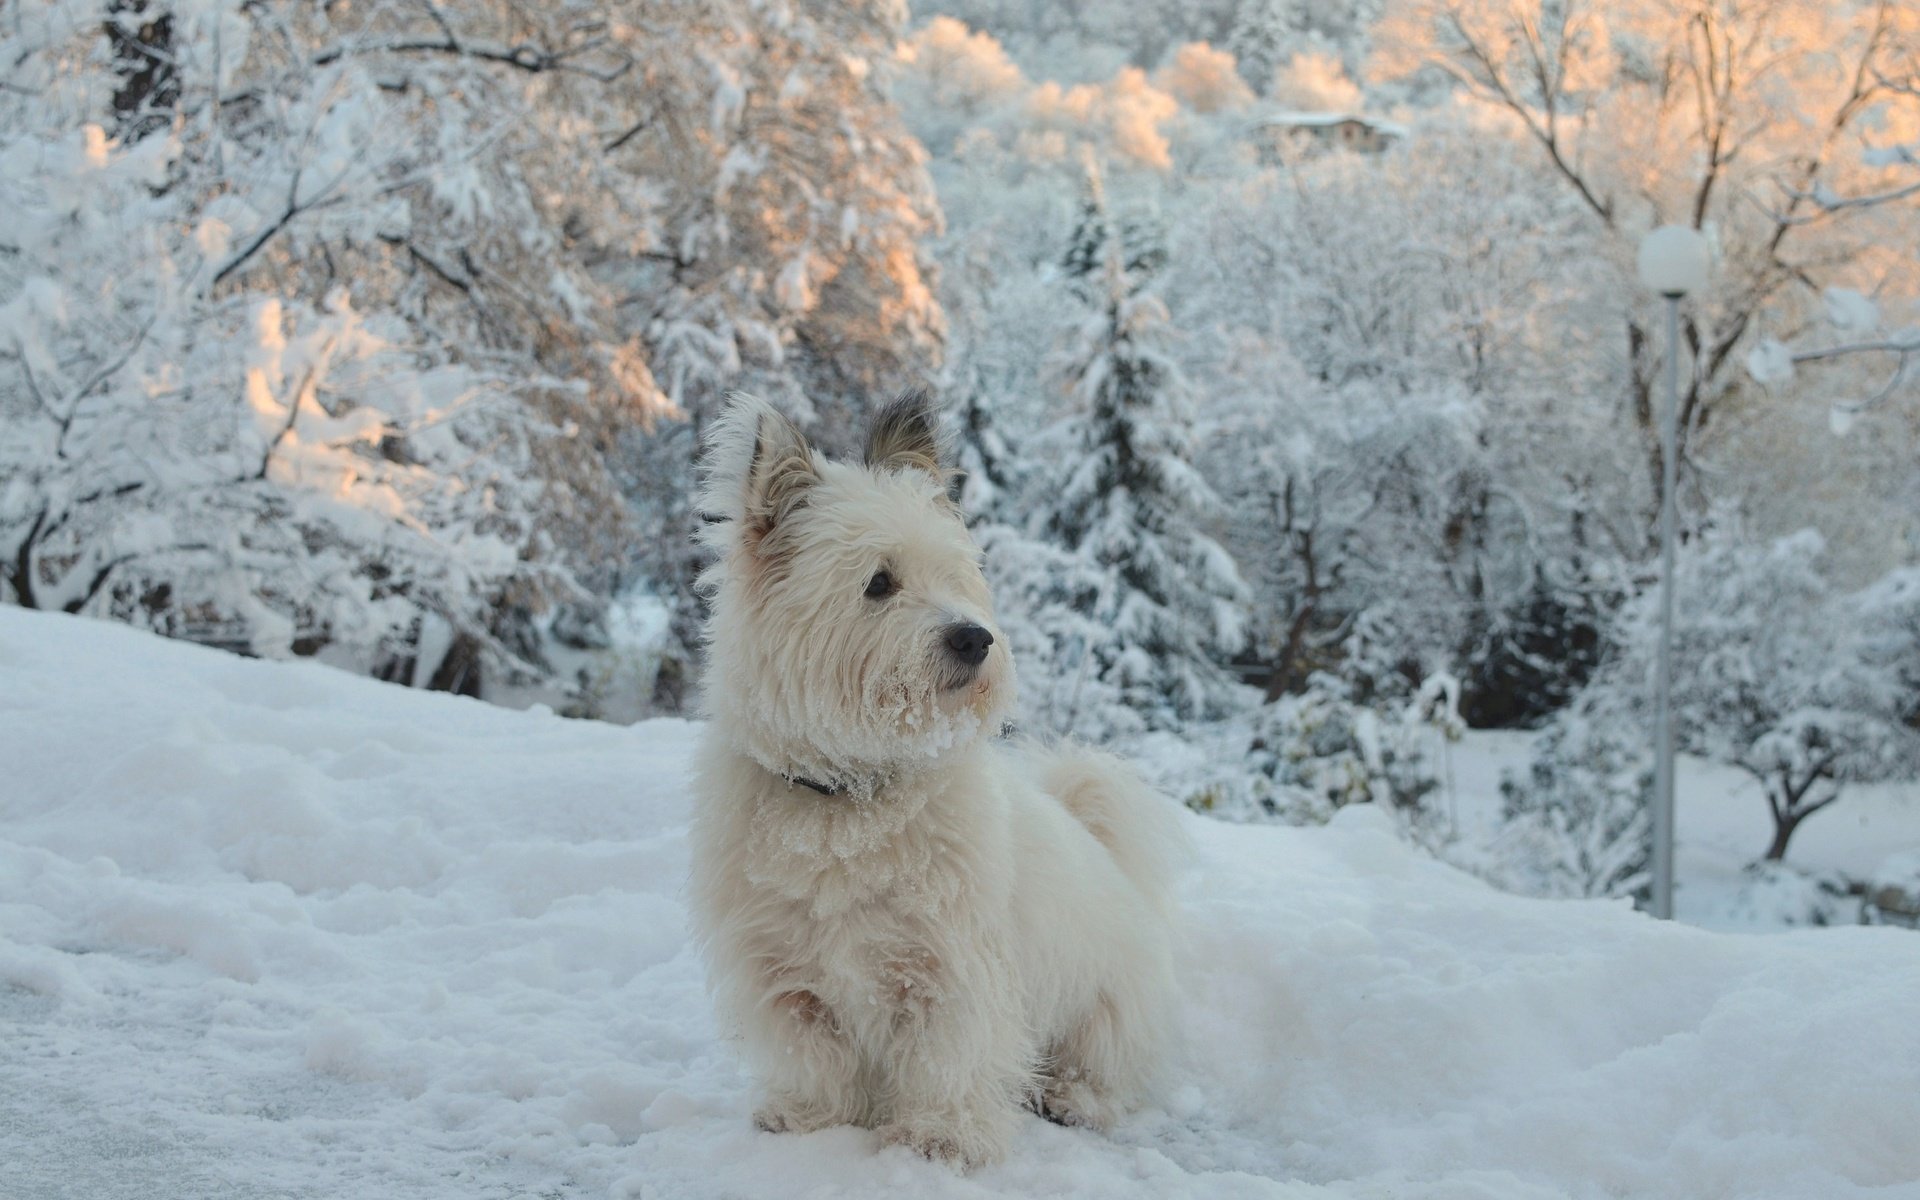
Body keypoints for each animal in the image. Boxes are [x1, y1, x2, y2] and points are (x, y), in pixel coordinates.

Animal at [683, 395, 1175, 1167]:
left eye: (956, 576)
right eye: (879, 582)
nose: (976, 639)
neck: (850, 796)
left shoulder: (953, 967)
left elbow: (949, 1058)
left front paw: (938, 1141)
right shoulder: (782, 972)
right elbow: (811, 1055)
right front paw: (808, 1119)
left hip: (1105, 1012)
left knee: (1107, 1073)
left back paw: (1071, 1098)